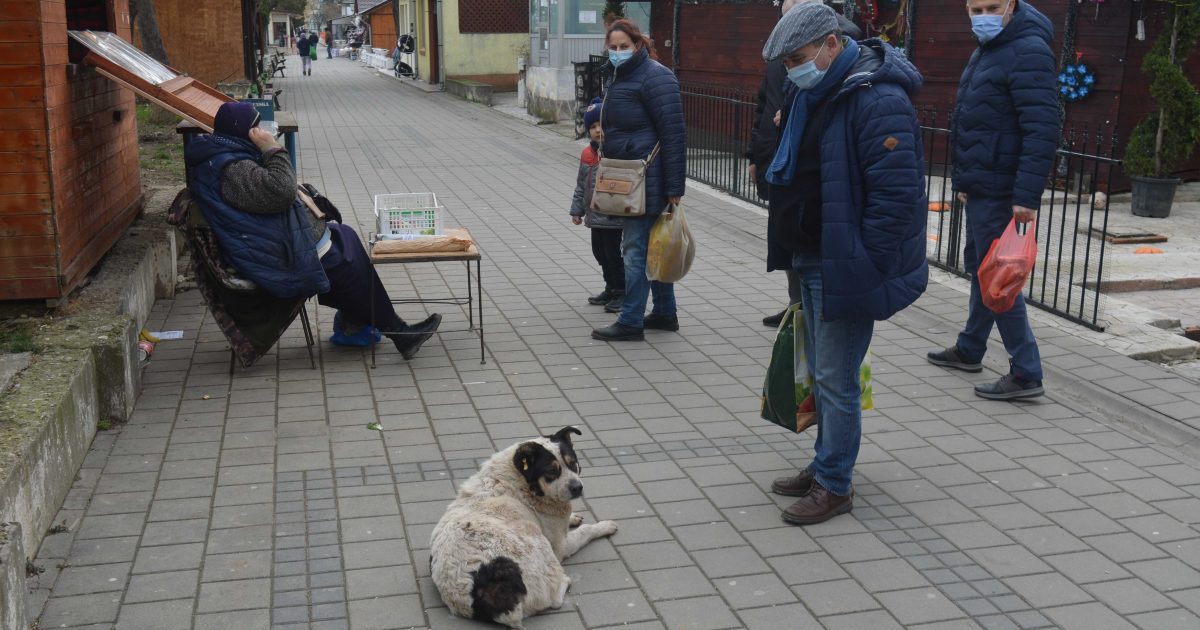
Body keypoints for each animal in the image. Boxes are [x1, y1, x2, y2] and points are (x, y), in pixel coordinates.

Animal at [432, 424, 619, 624]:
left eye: (573, 463)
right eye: (552, 471)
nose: (578, 488)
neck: (522, 482)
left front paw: (573, 517)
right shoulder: (560, 546)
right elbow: (585, 531)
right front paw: (604, 526)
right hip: (534, 537)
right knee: (553, 598)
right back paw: (565, 582)